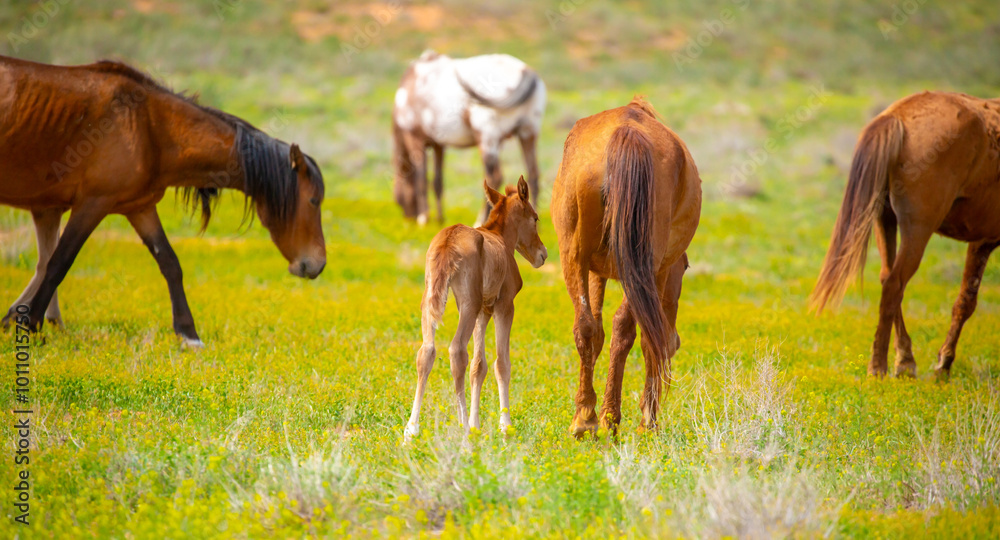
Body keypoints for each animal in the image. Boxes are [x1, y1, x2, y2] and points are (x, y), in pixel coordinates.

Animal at [0, 56, 327, 346]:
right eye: (313, 201)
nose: (318, 264)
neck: (149, 127)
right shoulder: (91, 204)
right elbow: (58, 262)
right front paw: (31, 325)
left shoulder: (140, 208)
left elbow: (170, 263)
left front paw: (189, 335)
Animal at [392, 50, 546, 226]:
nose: (408, 217)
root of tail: (526, 72)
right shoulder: (439, 145)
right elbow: (438, 181)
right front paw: (439, 219)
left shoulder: (415, 138)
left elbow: (421, 178)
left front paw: (424, 218)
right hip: (528, 134)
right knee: (533, 175)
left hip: (487, 137)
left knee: (494, 177)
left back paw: (480, 222)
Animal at [404, 176, 547, 440]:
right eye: (535, 218)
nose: (542, 254)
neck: (501, 238)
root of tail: (448, 241)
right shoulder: (504, 306)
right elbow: (501, 363)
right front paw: (504, 425)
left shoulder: (484, 310)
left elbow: (478, 366)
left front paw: (476, 424)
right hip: (468, 303)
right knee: (456, 350)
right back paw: (461, 426)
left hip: (431, 299)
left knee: (426, 351)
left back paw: (411, 429)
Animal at [551, 98, 702, 437]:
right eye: (685, 270)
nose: (677, 341)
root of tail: (627, 131)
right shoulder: (658, 273)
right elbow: (647, 340)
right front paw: (648, 418)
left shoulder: (596, 270)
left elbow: (597, 329)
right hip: (644, 266)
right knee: (626, 329)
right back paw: (605, 417)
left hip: (574, 257)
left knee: (588, 327)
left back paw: (587, 418)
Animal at [812, 91, 1000, 379]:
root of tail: (897, 116)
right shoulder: (982, 240)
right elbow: (966, 302)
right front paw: (944, 364)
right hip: (918, 229)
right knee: (894, 284)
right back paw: (878, 367)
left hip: (884, 219)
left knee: (887, 278)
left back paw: (904, 360)